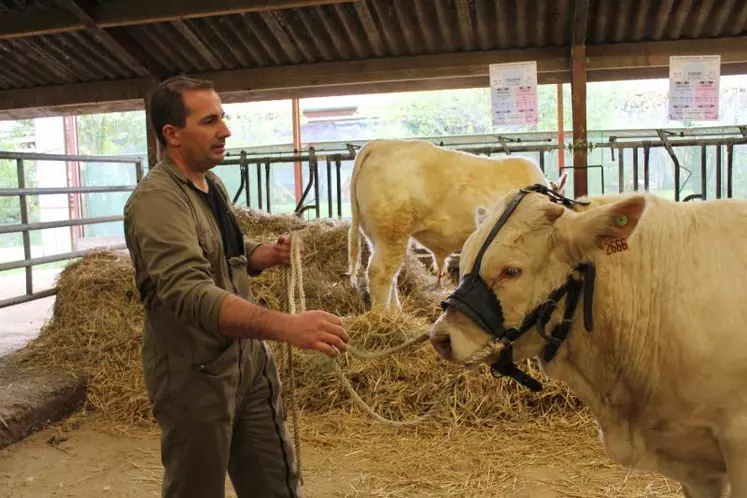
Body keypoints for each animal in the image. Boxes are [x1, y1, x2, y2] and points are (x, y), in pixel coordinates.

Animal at [344, 136, 568, 308]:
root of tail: (380, 144)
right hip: (392, 233)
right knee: (380, 274)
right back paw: (384, 316)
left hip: (378, 237)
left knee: (391, 274)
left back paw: (396, 313)